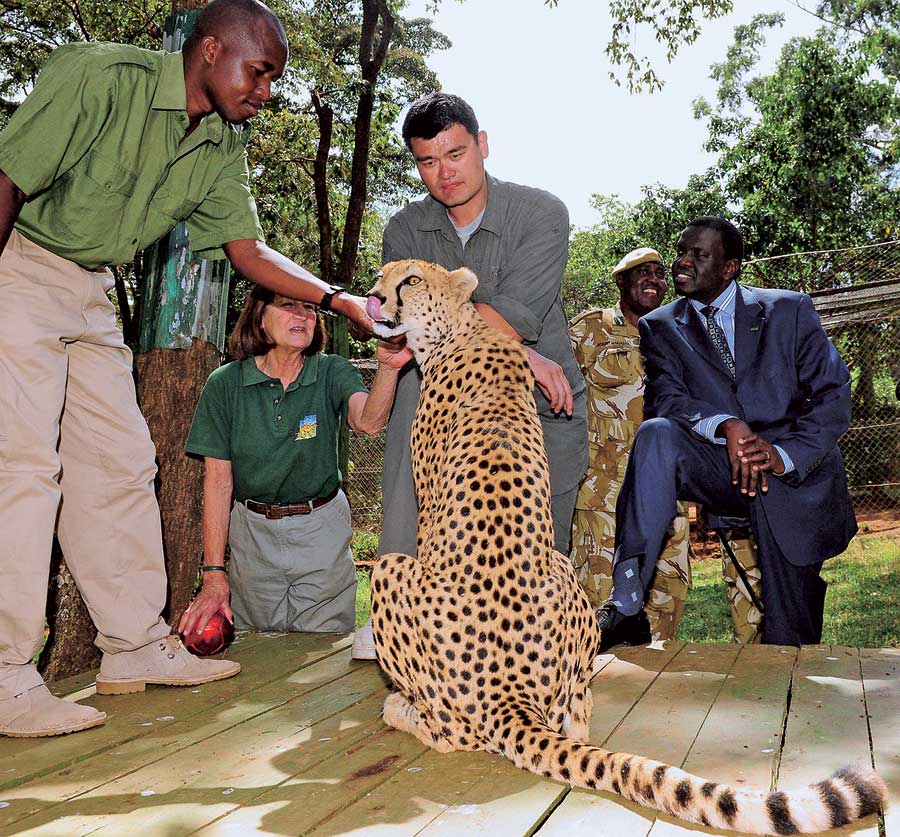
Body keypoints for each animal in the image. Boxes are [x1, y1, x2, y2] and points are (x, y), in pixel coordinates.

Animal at [362, 258, 884, 832]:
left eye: (410, 280)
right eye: (385, 275)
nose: (372, 297)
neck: (458, 332)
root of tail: (510, 694)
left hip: (389, 571)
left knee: (451, 732)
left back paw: (399, 709)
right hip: (564, 573)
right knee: (575, 723)